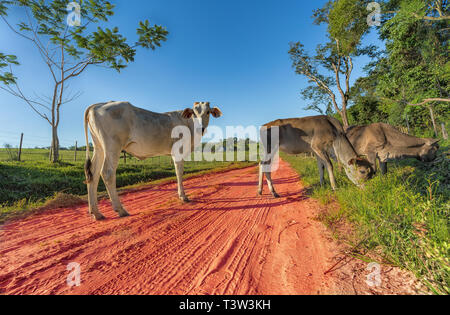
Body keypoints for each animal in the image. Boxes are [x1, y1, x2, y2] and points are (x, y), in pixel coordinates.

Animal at [83, 101, 222, 220]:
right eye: (194, 113)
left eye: (208, 112)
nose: (201, 127)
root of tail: (98, 105)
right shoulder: (178, 151)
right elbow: (179, 172)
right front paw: (183, 196)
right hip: (112, 146)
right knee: (107, 173)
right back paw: (120, 210)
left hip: (99, 147)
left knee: (93, 173)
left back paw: (96, 213)